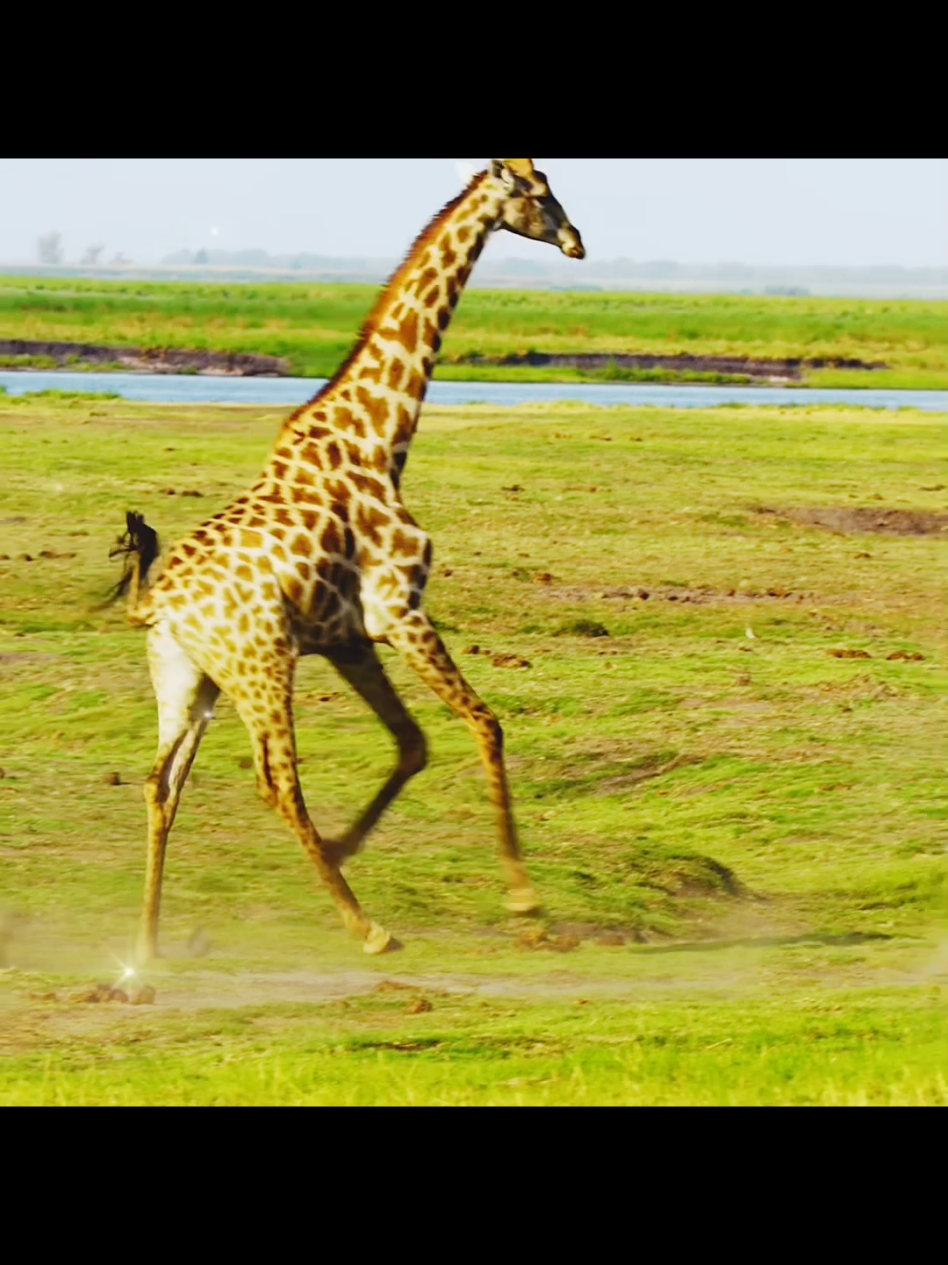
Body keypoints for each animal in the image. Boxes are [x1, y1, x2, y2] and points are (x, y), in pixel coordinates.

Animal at [110, 158, 585, 961]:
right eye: (538, 191)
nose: (577, 240)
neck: (380, 438)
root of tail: (160, 605)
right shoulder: (401, 610)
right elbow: (484, 724)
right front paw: (526, 901)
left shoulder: (348, 638)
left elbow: (414, 744)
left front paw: (342, 845)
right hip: (261, 667)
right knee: (276, 783)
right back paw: (367, 928)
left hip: (187, 681)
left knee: (159, 784)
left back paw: (145, 948)